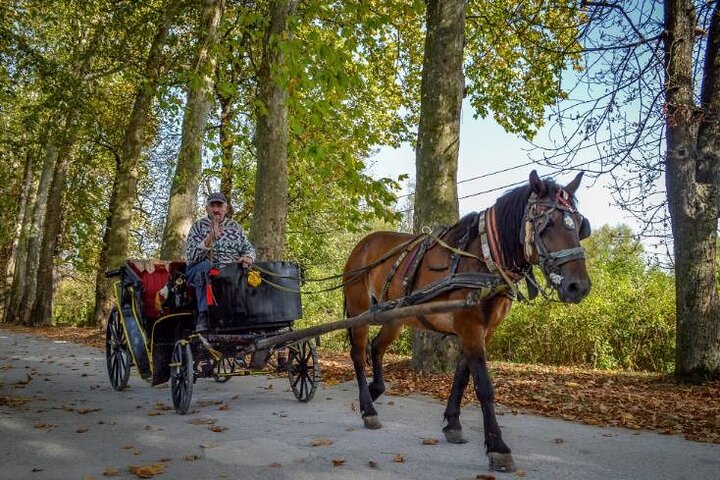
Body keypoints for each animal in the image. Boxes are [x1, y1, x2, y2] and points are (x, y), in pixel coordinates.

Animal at [344, 170, 592, 472]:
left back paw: (375, 390)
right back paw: (368, 408)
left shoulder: (483, 331)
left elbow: (462, 377)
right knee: (358, 354)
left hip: (395, 316)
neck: (486, 259)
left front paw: (452, 424)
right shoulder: (470, 326)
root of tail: (362, 245)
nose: (578, 287)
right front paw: (498, 447)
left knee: (377, 347)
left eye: (579, 225)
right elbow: (483, 386)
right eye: (548, 223)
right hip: (359, 311)